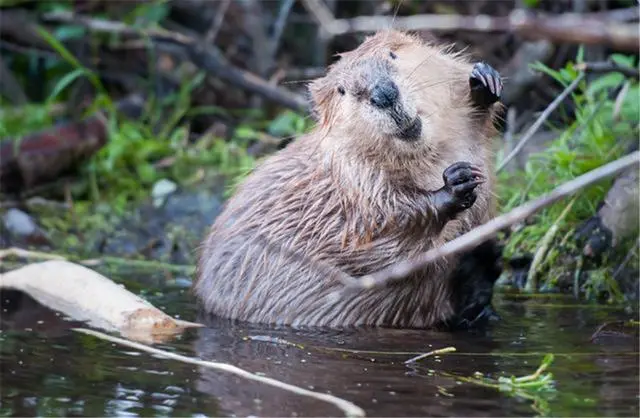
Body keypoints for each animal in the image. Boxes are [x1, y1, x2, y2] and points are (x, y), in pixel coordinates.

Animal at [192, 29, 502, 330]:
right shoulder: (352, 179)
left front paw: (484, 81)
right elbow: (381, 228)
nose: (384, 94)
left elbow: (475, 124)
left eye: (392, 54)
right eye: (342, 90)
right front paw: (455, 182)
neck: (429, 156)